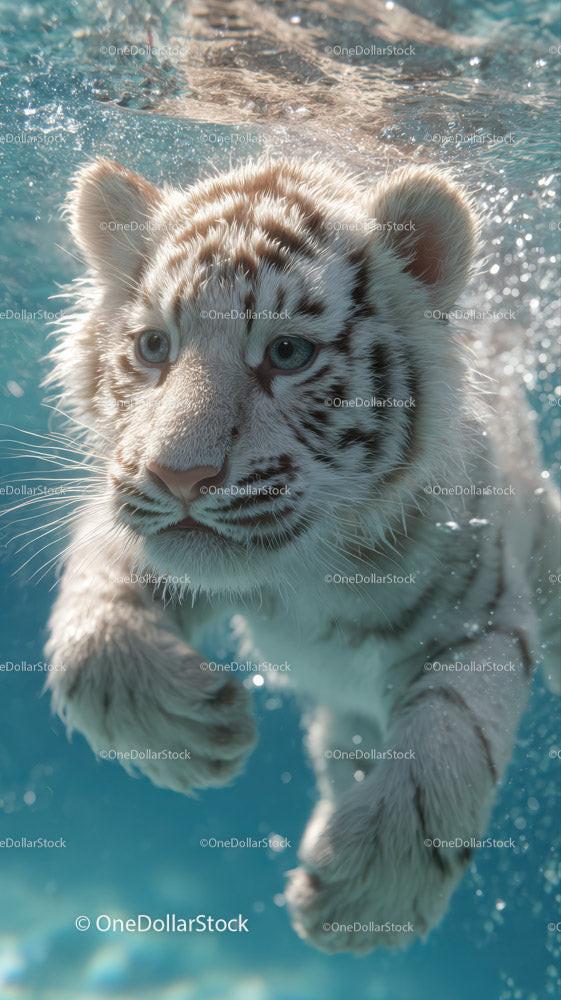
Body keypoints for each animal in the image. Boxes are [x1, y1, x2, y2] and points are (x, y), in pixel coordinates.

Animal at [44, 155, 561, 954]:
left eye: (288, 353)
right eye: (154, 347)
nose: (178, 476)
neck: (303, 569)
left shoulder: (480, 612)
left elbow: (450, 736)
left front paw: (370, 892)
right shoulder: (135, 525)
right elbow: (92, 622)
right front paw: (190, 732)